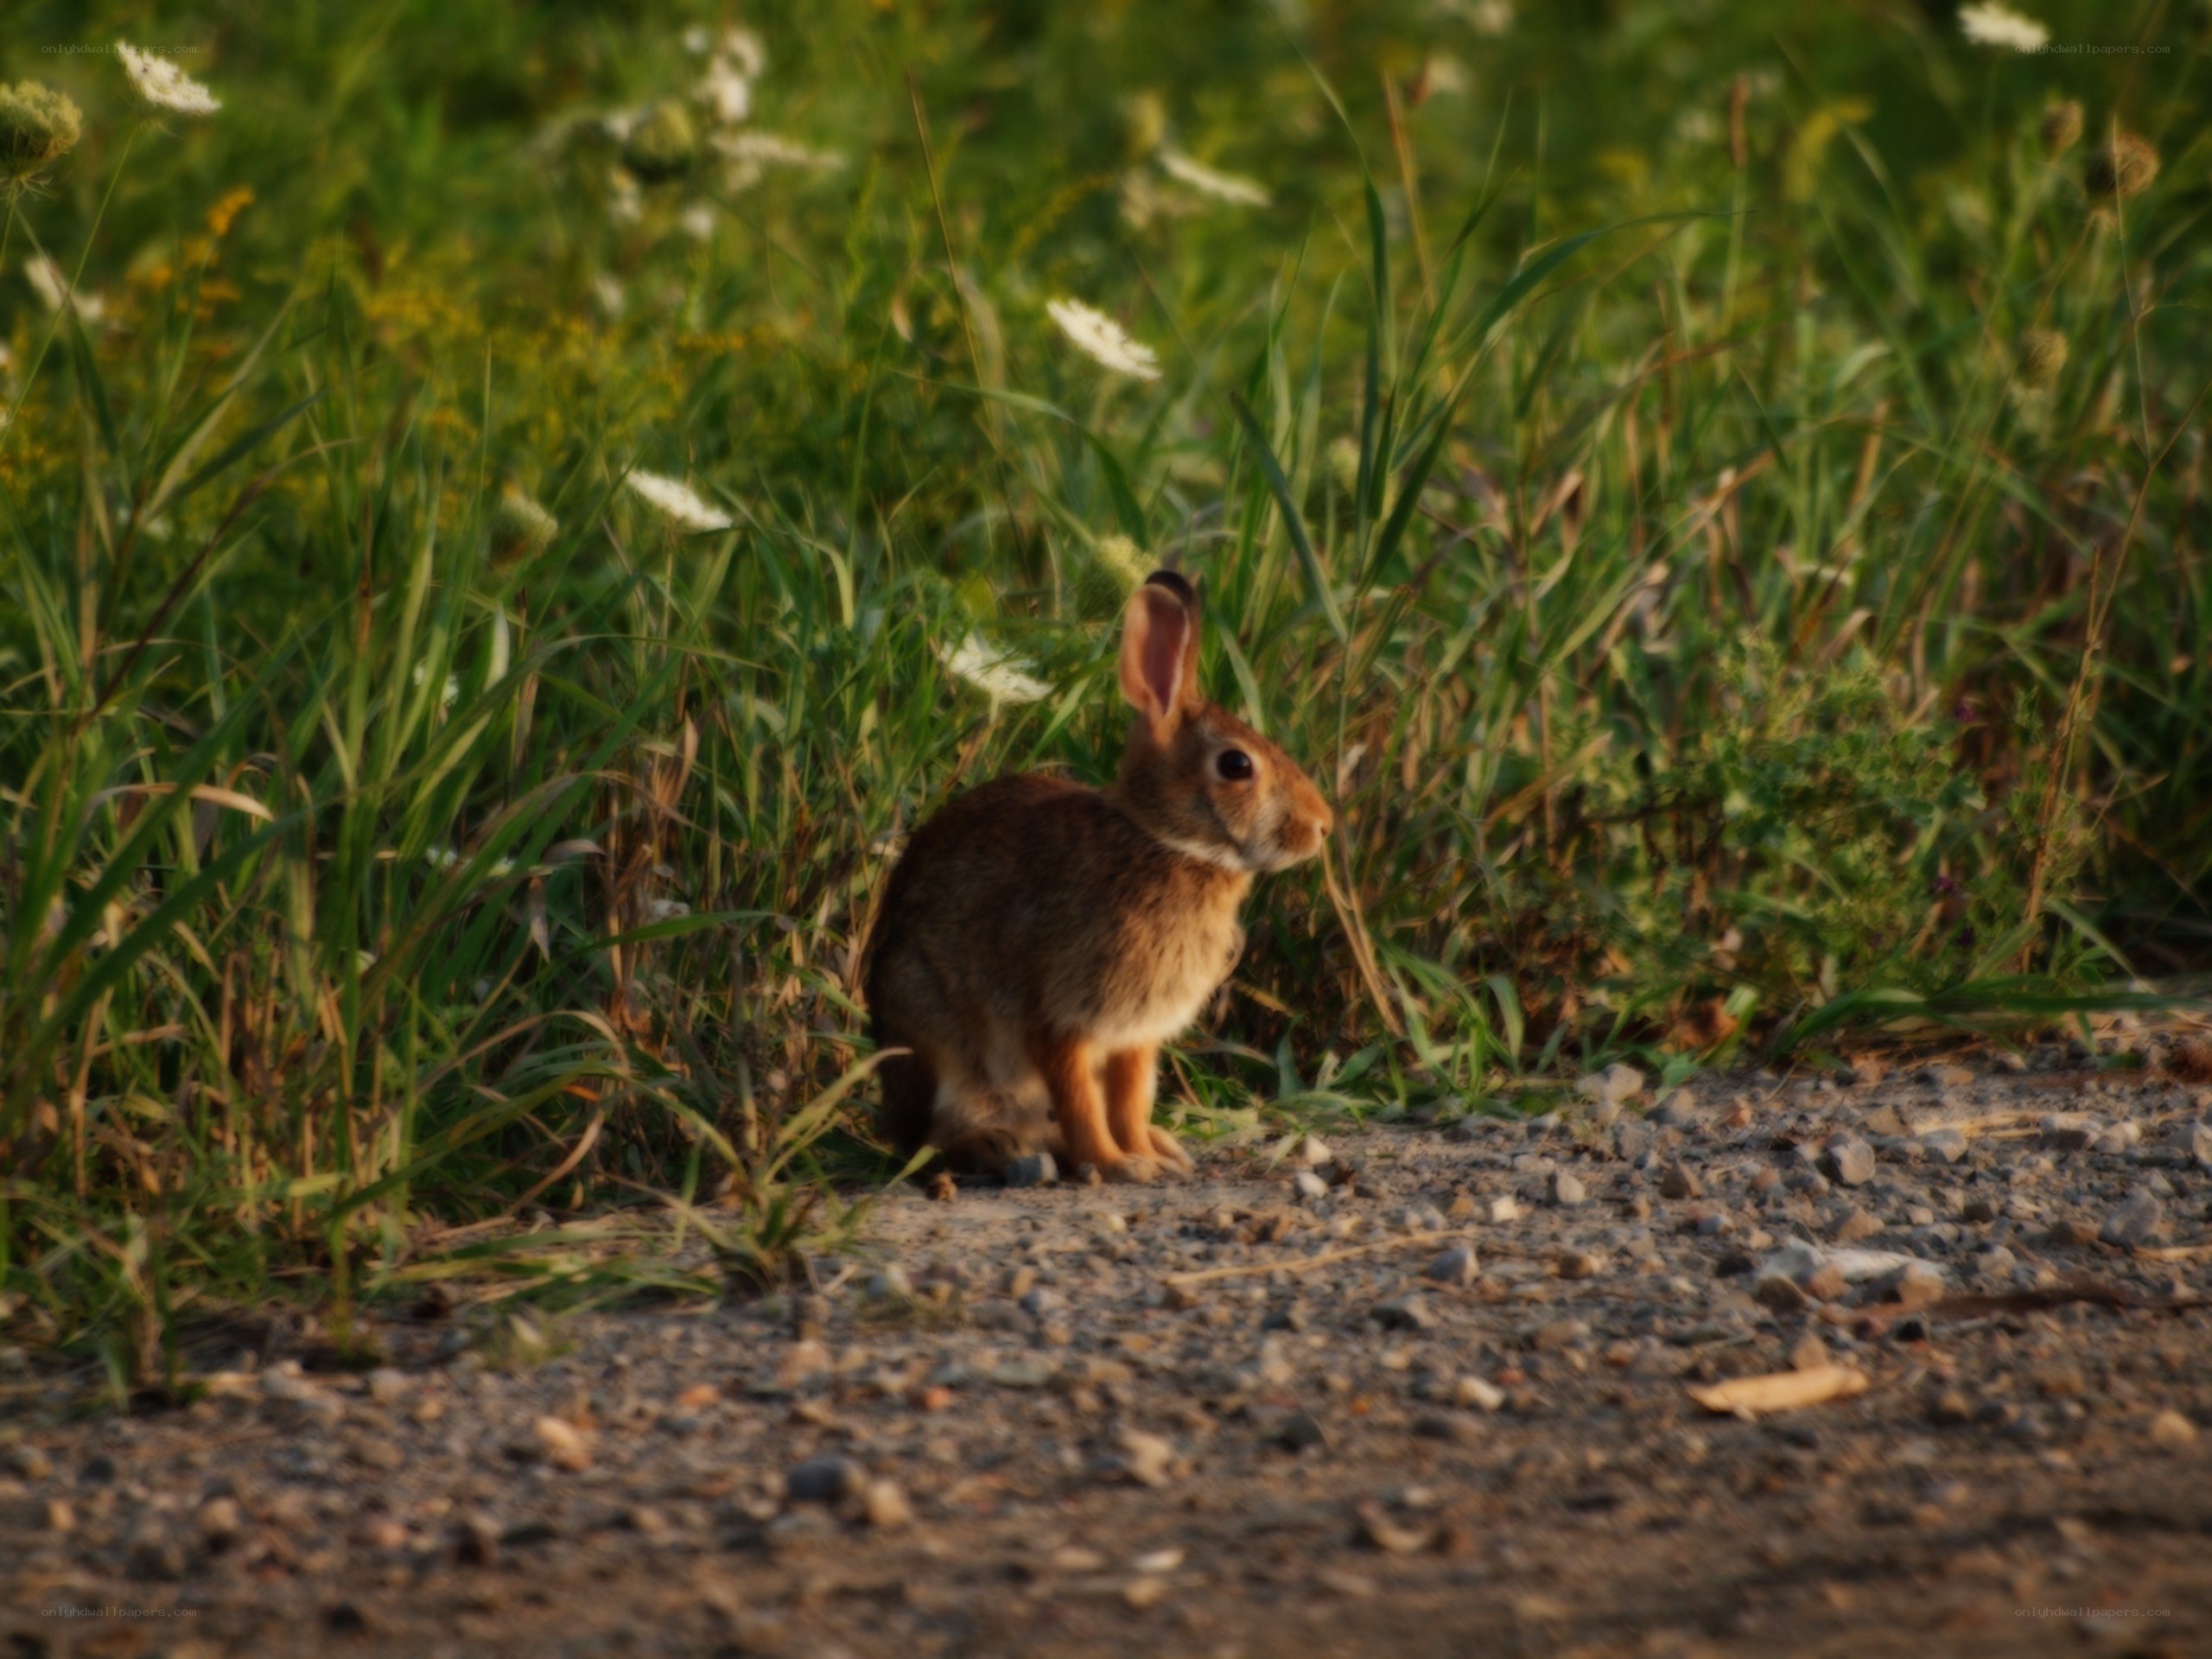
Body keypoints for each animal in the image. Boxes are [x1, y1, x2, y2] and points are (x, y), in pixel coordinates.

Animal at [866, 570, 1333, 1184]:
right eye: (1236, 765)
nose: (1322, 826)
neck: (1164, 843)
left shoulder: (1135, 1036)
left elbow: (1127, 1102)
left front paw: (1143, 1157)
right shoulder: (1058, 1020)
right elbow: (1081, 1102)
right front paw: (1119, 1166)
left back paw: (1158, 1144)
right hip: (938, 1040)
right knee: (935, 1135)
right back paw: (1000, 1148)